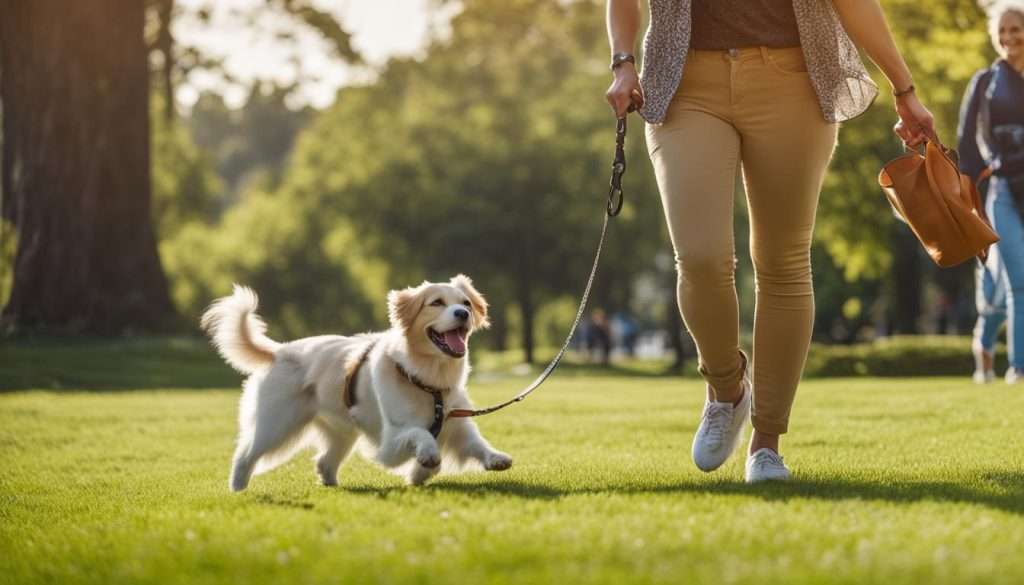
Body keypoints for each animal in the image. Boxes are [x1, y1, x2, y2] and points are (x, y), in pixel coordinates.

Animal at [201, 274, 512, 489]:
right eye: (436, 303)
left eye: (466, 302)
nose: (464, 313)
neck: (429, 381)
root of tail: (279, 351)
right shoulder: (390, 442)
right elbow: (421, 436)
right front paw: (424, 462)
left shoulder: (457, 424)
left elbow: (476, 444)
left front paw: (493, 458)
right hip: (275, 425)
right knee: (245, 453)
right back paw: (238, 488)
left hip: (342, 433)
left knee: (324, 461)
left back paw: (332, 485)